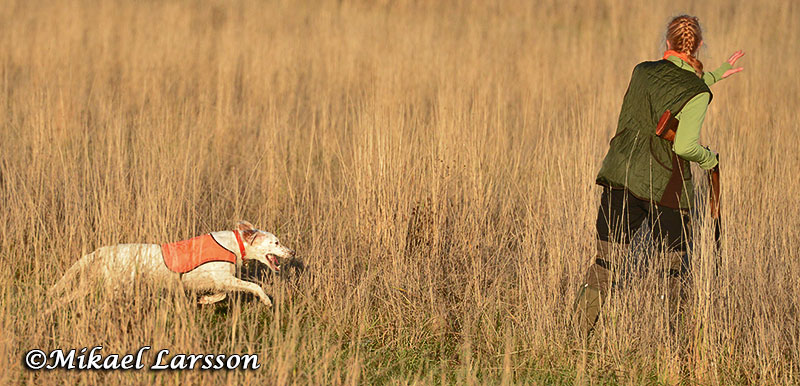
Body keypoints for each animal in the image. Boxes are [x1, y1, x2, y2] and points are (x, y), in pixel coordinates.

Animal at [46, 222, 294, 310]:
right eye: (276, 243)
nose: (292, 252)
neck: (234, 243)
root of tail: (100, 251)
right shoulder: (222, 277)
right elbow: (254, 287)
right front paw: (267, 300)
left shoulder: (219, 280)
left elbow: (221, 294)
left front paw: (205, 300)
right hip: (114, 288)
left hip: (91, 285)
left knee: (63, 298)